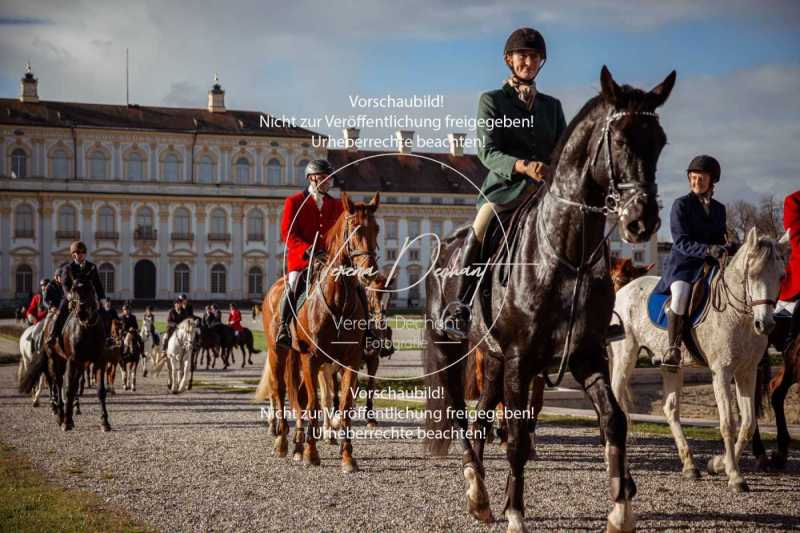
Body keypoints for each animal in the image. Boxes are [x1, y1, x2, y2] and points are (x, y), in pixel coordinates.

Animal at [256, 190, 382, 470]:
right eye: (354, 228)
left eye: (377, 229)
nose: (369, 274)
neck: (338, 300)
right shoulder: (311, 359)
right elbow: (313, 404)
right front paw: (312, 453)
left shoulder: (351, 361)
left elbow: (344, 405)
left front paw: (347, 456)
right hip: (279, 352)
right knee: (281, 391)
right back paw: (282, 441)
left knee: (296, 396)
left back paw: (297, 443)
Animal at [422, 67, 672, 532]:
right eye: (619, 139)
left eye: (660, 140)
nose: (642, 221)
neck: (565, 255)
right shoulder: (522, 359)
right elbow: (517, 438)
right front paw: (516, 514)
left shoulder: (586, 354)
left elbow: (614, 421)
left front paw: (620, 509)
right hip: (453, 347)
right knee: (461, 414)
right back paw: (476, 485)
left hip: (493, 357)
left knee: (481, 415)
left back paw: (480, 495)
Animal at [612, 229, 788, 490]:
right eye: (752, 274)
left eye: (782, 276)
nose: (765, 325)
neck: (740, 317)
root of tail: (624, 290)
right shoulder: (721, 372)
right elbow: (728, 423)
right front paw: (735, 475)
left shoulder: (747, 372)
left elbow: (748, 423)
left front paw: (718, 464)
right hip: (626, 356)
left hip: (670, 365)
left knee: (670, 409)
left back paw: (689, 466)